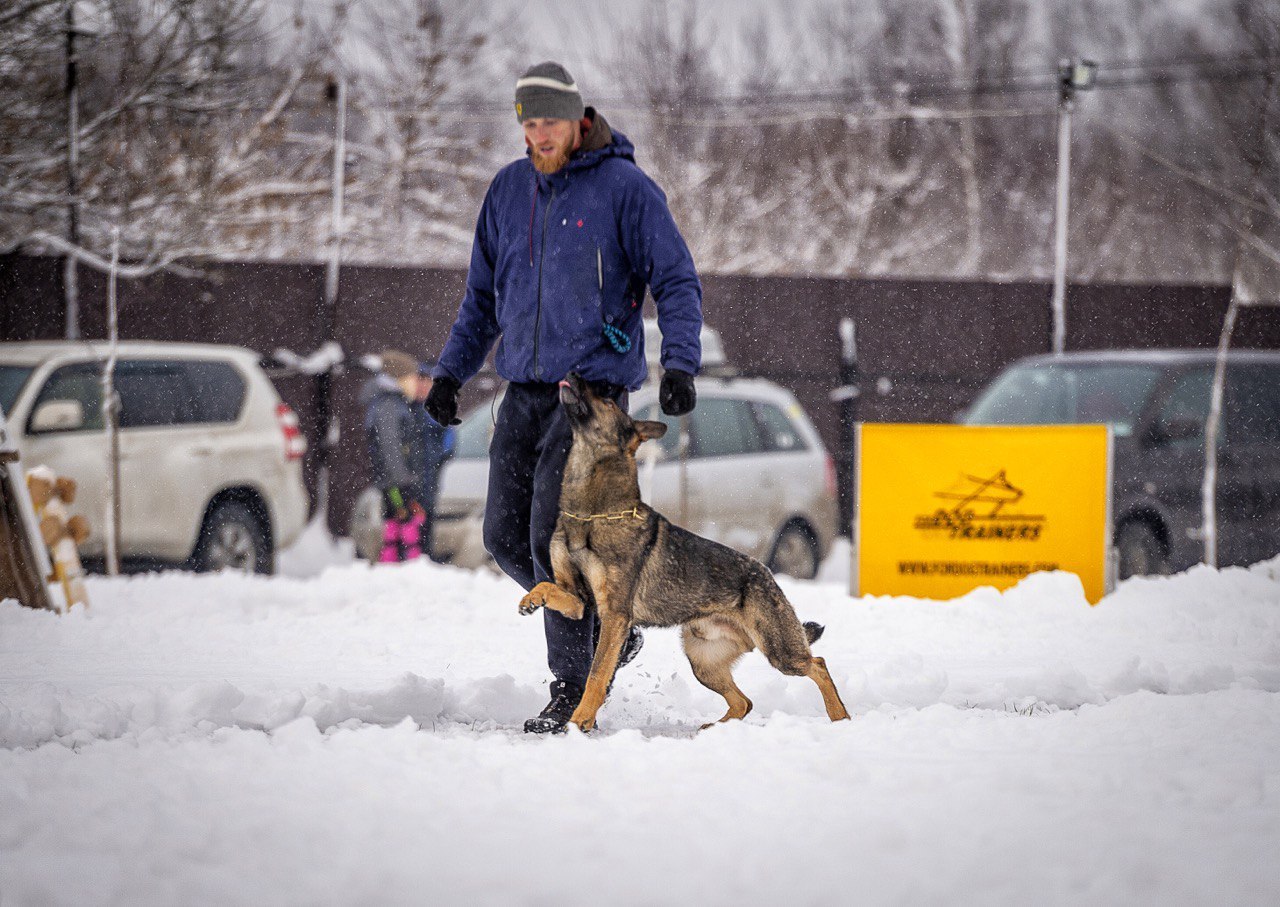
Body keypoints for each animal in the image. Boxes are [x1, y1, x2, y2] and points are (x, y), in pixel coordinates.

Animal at [514, 370, 844, 731]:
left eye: (608, 401)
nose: (573, 373)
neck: (592, 512)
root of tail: (767, 574)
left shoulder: (614, 614)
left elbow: (597, 674)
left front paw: (579, 721)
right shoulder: (580, 603)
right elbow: (546, 585)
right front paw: (531, 599)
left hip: (778, 650)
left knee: (818, 664)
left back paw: (840, 716)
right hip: (703, 661)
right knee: (744, 701)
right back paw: (715, 729)